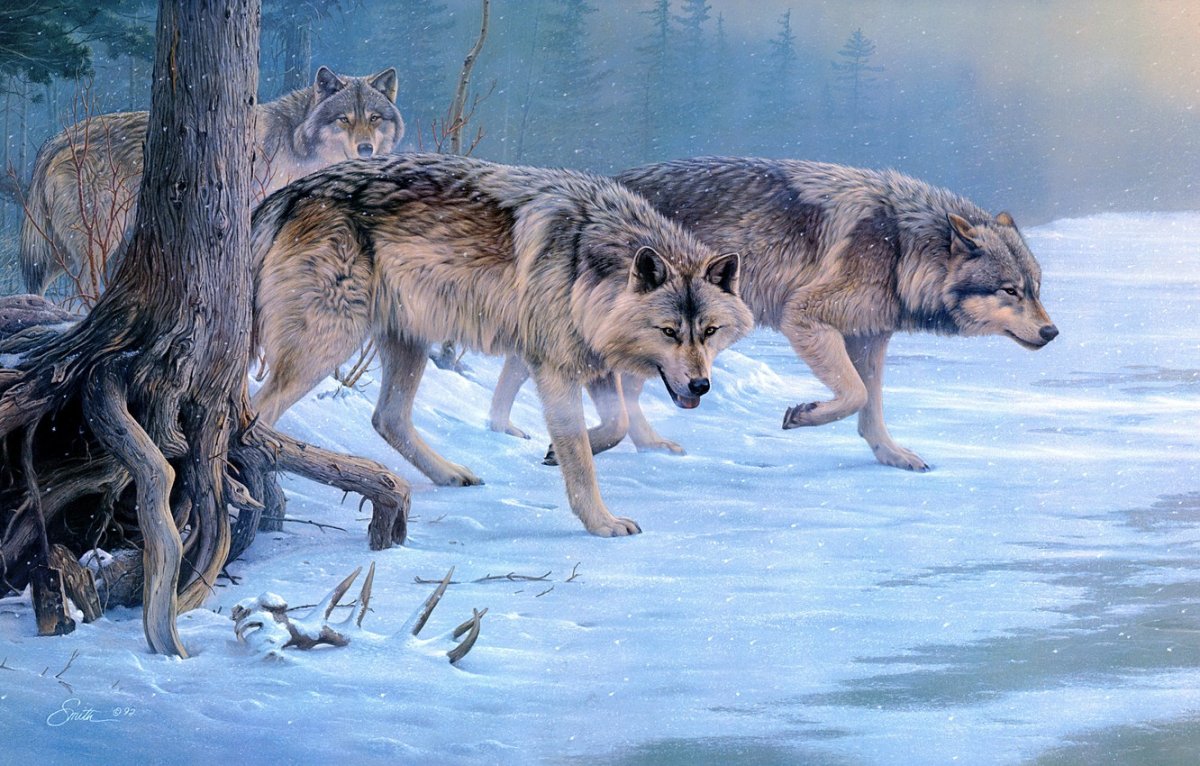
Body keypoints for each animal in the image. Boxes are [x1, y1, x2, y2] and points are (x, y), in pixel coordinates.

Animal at [20, 67, 403, 296]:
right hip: (99, 238)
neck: (299, 143)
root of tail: (55, 140)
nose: (366, 149)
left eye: (374, 118)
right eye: (343, 119)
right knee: (85, 285)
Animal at [249, 153, 753, 536]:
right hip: (328, 343)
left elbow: (618, 424)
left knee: (387, 418)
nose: (701, 386)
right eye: (668, 331)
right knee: (258, 411)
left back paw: (451, 474)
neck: (584, 265)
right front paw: (600, 523)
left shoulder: (591, 362)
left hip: (408, 341)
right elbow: (580, 459)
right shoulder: (554, 369)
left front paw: (554, 454)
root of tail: (291, 192)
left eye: (709, 331)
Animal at [490, 157, 1058, 471]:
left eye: (1036, 288)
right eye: (1010, 290)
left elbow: (871, 406)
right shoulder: (804, 317)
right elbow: (853, 395)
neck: (902, 246)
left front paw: (892, 456)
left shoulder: (870, 336)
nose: (1053, 332)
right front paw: (802, 415)